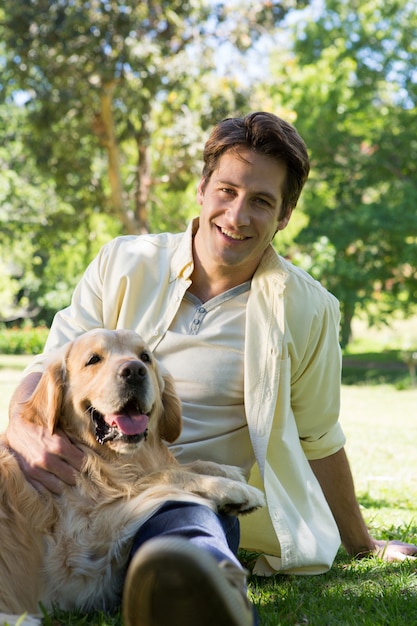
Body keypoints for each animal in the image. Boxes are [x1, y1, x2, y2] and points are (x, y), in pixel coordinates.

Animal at [0, 326, 264, 620]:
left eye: (145, 357)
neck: (105, 458)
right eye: (93, 360)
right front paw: (232, 489)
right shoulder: (82, 542)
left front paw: (226, 472)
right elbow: (162, 477)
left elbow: (176, 467)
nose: (135, 371)